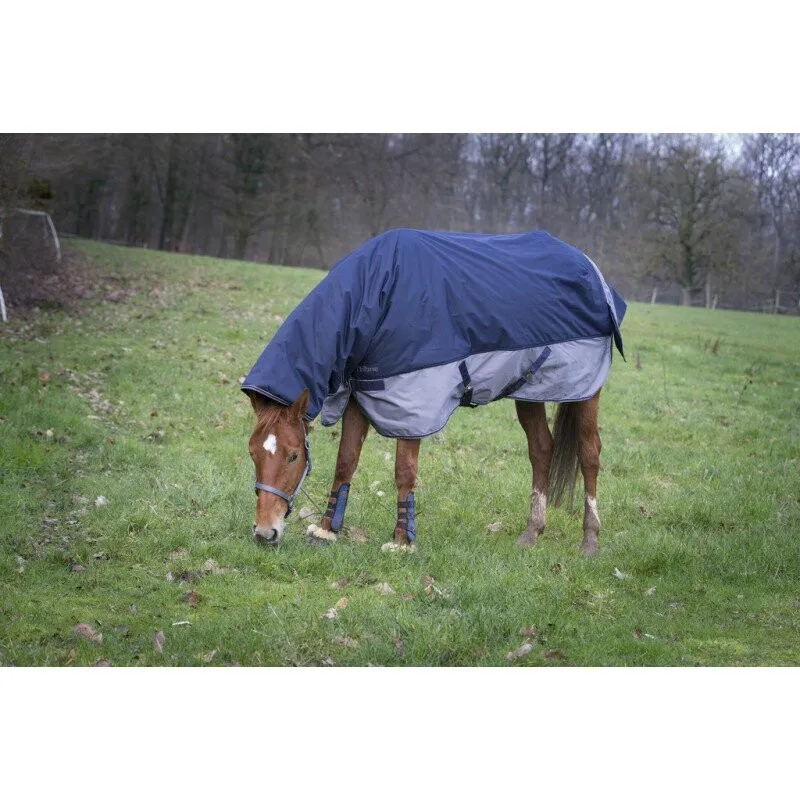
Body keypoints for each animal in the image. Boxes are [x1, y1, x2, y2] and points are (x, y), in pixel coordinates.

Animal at [243, 228, 625, 555]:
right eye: (252, 453)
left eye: (293, 456)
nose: (265, 533)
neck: (378, 293)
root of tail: (589, 267)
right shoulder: (359, 393)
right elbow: (346, 462)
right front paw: (326, 530)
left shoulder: (414, 399)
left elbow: (404, 471)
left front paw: (401, 541)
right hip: (529, 389)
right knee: (542, 450)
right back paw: (532, 532)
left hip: (584, 389)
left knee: (589, 453)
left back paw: (590, 540)